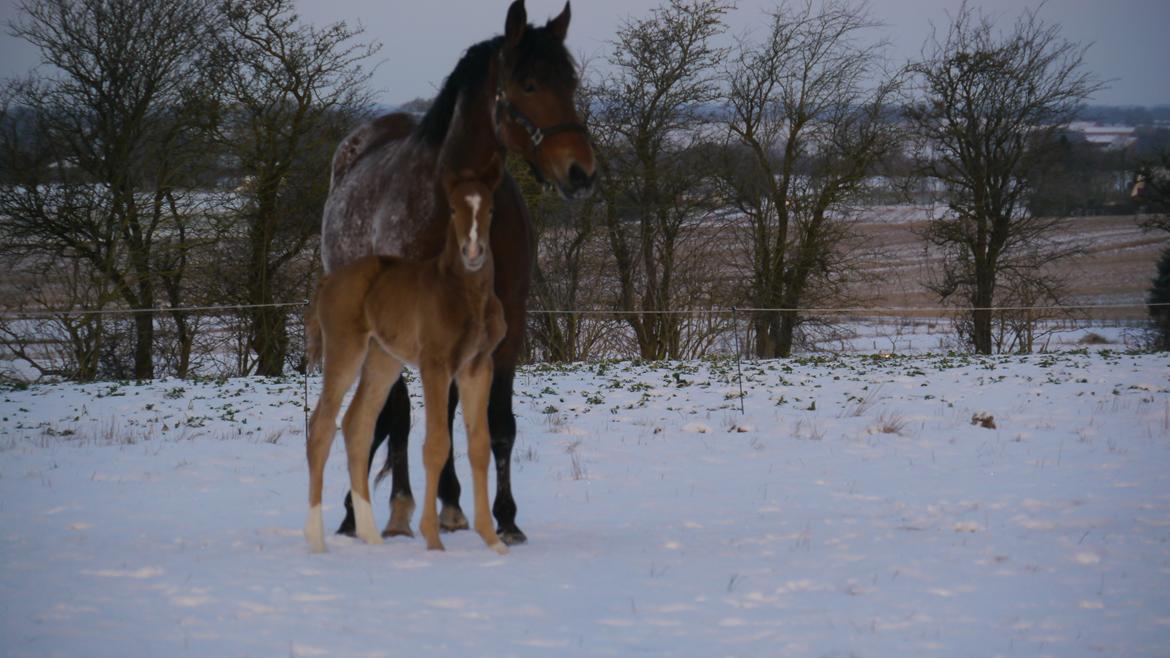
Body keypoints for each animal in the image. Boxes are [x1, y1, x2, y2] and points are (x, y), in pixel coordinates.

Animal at [304, 163, 505, 552]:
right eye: (453, 209)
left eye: (490, 210)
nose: (473, 251)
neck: (465, 294)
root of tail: (327, 282)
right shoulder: (435, 365)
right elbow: (437, 444)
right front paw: (434, 539)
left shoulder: (477, 367)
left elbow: (479, 445)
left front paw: (493, 541)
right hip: (345, 351)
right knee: (321, 426)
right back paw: (316, 540)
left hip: (383, 360)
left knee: (357, 424)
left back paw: (371, 536)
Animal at [320, 0, 594, 543]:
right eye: (529, 83)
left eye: (570, 81)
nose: (581, 170)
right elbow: (406, 418)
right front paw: (406, 509)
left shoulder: (508, 321)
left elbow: (497, 422)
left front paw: (505, 517)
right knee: (392, 415)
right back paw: (386, 509)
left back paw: (446, 502)